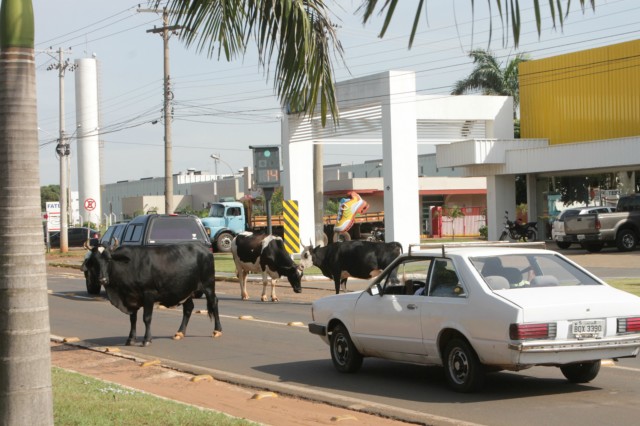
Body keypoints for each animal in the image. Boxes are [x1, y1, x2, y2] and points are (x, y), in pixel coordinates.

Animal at [81, 243, 221, 346]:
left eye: (109, 259)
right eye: (94, 261)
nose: (102, 279)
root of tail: (204, 249)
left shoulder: (148, 294)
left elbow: (146, 318)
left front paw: (147, 339)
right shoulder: (131, 299)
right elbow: (133, 319)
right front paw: (131, 339)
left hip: (208, 285)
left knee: (214, 303)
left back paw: (217, 331)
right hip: (185, 290)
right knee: (188, 308)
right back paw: (180, 332)